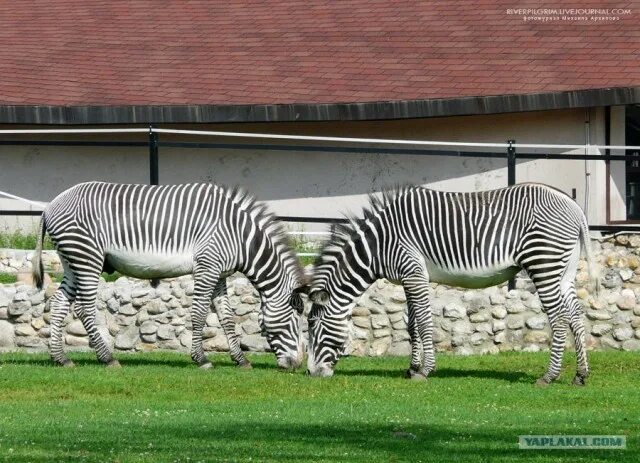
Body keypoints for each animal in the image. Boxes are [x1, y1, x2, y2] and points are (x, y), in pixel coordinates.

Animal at [31, 181, 308, 370]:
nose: (296, 365)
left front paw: (241, 360)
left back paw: (61, 358)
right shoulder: (207, 266)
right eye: (295, 320)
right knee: (85, 308)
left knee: (59, 303)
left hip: (71, 260)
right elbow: (199, 314)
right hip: (87, 257)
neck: (240, 236)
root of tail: (51, 205)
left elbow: (227, 318)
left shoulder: (219, 273)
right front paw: (201, 359)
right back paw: (107, 358)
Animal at [308, 183, 596, 386]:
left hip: (543, 264)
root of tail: (573, 205)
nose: (311, 373)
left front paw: (425, 370)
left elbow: (424, 321)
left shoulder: (413, 273)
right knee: (575, 314)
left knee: (559, 318)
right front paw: (412, 368)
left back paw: (549, 376)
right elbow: (412, 325)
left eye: (313, 328)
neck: (378, 245)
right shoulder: (410, 277)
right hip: (564, 271)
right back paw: (580, 375)